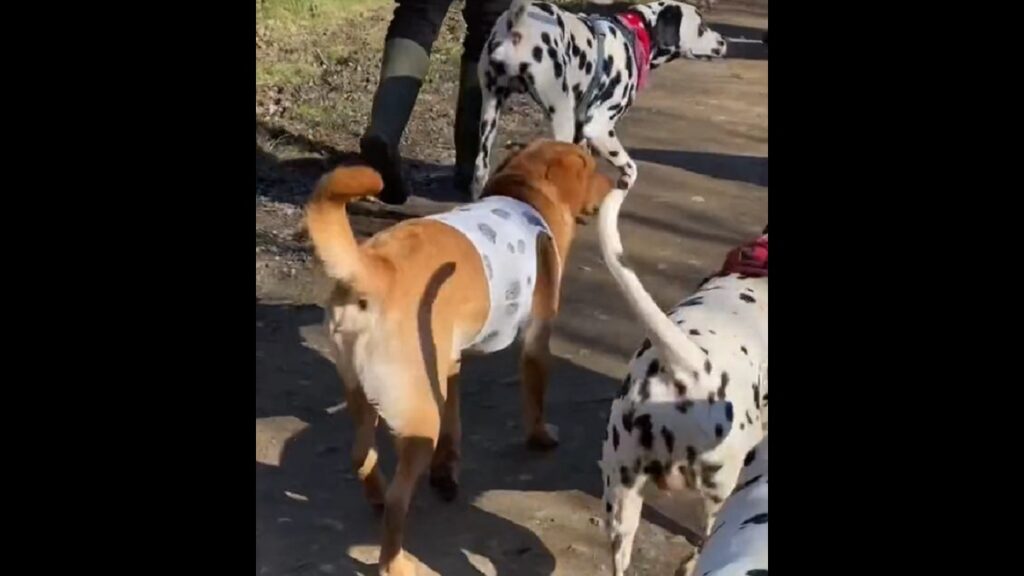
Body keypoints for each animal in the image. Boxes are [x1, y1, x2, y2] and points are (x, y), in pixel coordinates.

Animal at [303, 140, 606, 573]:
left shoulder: (449, 363)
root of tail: (374, 270)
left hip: (362, 394)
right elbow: (535, 397)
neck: (525, 197)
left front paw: (446, 472)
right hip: (418, 418)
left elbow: (454, 423)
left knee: (361, 455)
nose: (616, 182)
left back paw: (376, 495)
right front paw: (541, 436)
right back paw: (395, 562)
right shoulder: (536, 340)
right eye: (593, 168)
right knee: (398, 501)